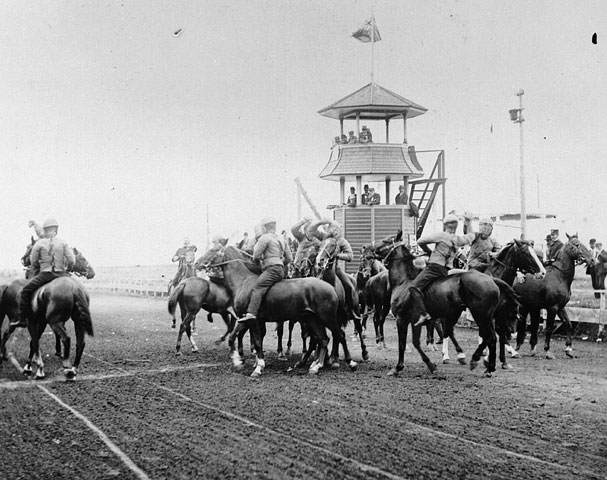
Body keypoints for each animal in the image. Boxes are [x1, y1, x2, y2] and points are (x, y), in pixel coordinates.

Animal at [197, 246, 354, 376]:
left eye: (212, 249)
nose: (197, 263)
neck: (243, 281)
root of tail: (331, 287)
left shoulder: (253, 320)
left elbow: (257, 342)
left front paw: (258, 367)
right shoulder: (244, 319)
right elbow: (233, 337)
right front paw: (238, 361)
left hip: (327, 318)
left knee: (339, 335)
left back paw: (348, 362)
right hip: (312, 319)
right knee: (323, 339)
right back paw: (316, 366)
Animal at [378, 231, 520, 376]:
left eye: (385, 241)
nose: (370, 249)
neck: (404, 282)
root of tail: (492, 279)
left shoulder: (402, 319)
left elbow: (404, 344)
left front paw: (398, 367)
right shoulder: (413, 321)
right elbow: (415, 342)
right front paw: (430, 365)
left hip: (481, 316)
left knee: (490, 337)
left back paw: (484, 364)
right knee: (487, 337)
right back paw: (482, 363)